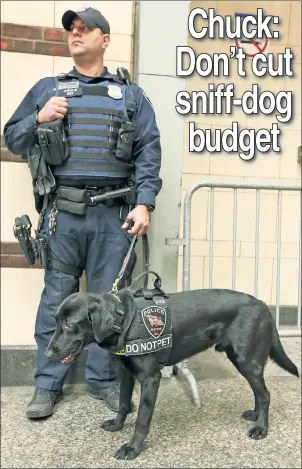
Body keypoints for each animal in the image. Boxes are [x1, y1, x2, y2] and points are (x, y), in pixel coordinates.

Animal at [45, 284, 300, 458]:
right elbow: (124, 404)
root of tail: (264, 306)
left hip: (247, 360)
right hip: (241, 360)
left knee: (265, 394)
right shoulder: (126, 374)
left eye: (69, 324)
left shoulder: (150, 379)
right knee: (259, 392)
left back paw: (261, 428)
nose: (47, 354)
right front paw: (117, 426)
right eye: (56, 320)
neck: (124, 318)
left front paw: (132, 448)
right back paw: (256, 416)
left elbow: (142, 419)